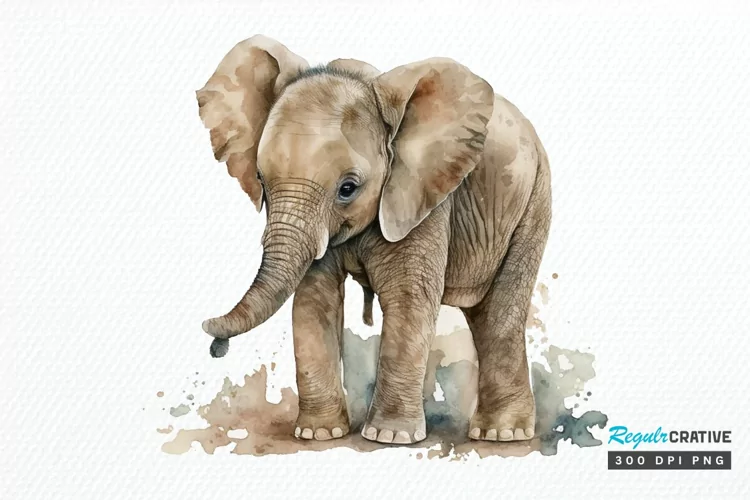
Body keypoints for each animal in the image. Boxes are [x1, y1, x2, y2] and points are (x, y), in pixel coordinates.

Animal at [196, 35, 552, 445]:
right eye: (261, 180)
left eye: (348, 188)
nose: (216, 345)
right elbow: (313, 301)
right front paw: (318, 434)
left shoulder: (420, 197)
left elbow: (408, 299)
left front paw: (388, 437)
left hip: (533, 202)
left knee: (500, 312)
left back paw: (501, 435)